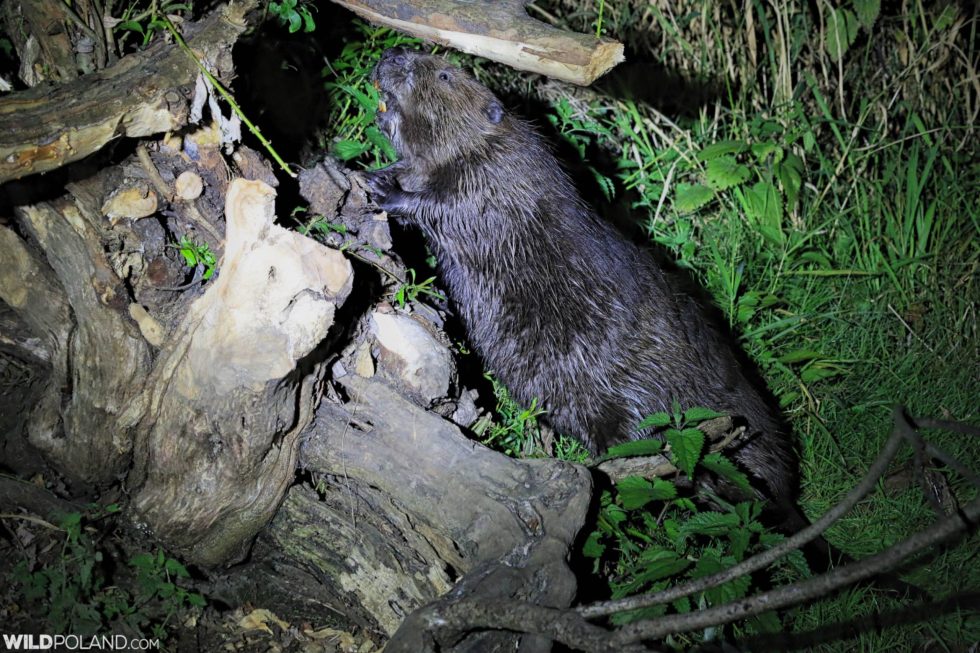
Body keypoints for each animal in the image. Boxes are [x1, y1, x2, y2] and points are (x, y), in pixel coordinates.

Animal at [364, 47, 800, 504]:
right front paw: (380, 169)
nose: (393, 53)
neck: (493, 143)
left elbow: (449, 207)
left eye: (445, 75)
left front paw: (382, 187)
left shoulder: (495, 180)